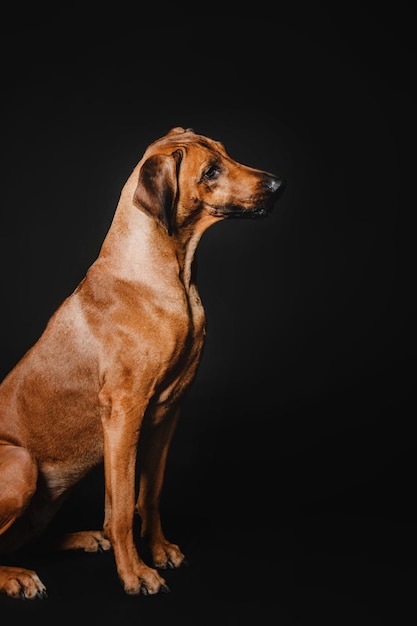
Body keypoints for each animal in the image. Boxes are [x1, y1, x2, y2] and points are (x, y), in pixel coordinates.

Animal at [0, 125, 282, 596]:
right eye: (211, 170)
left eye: (226, 153)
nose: (278, 185)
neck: (168, 274)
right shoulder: (123, 410)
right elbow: (120, 507)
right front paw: (134, 573)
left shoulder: (168, 411)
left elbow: (148, 494)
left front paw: (160, 549)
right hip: (20, 463)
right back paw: (16, 576)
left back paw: (81, 538)